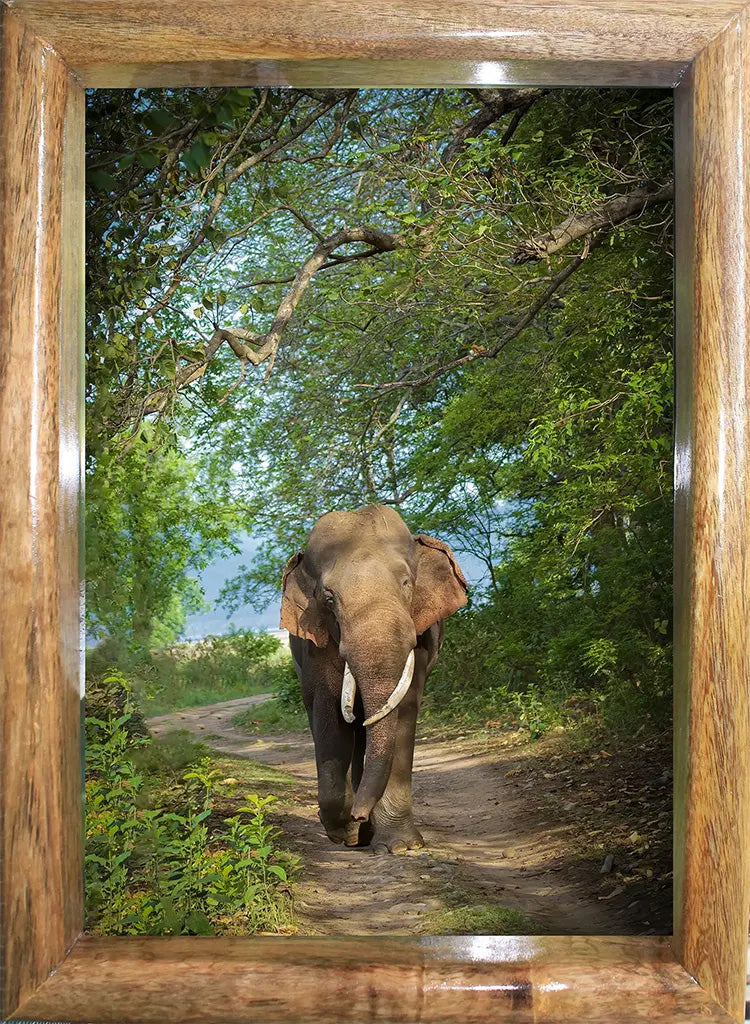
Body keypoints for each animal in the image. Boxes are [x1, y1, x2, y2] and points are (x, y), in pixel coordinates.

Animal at [280, 504, 467, 854]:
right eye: (329, 598)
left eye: (406, 583)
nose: (359, 814)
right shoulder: (316, 644)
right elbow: (328, 711)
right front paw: (346, 832)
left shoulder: (419, 638)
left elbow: (403, 709)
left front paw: (400, 846)